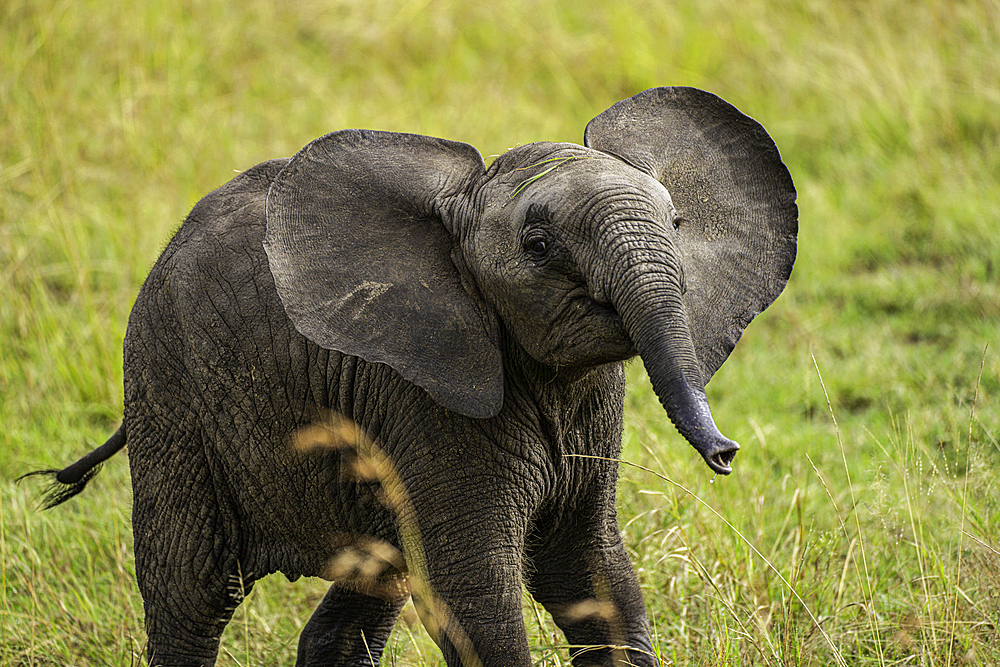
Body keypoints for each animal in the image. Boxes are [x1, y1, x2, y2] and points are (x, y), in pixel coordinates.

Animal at [25, 88, 796, 667]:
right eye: (538, 246)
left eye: (677, 222)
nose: (727, 454)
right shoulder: (427, 397)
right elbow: (473, 592)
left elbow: (590, 572)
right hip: (170, 392)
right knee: (190, 592)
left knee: (369, 585)